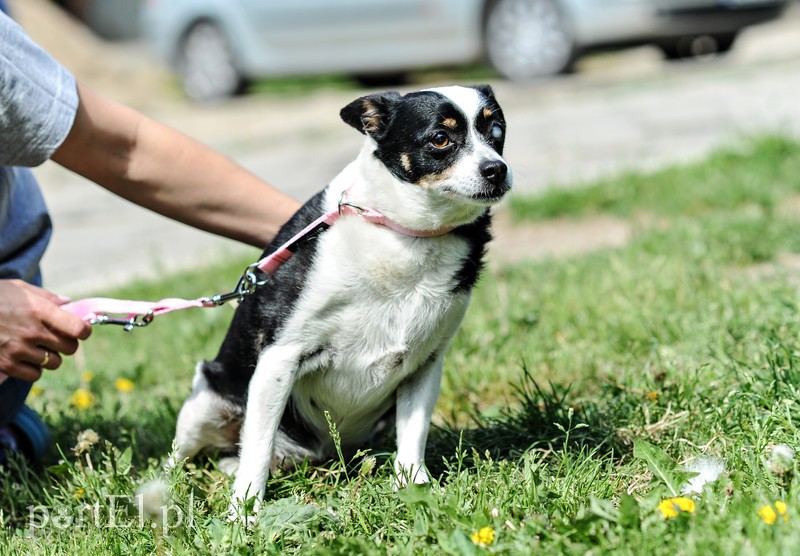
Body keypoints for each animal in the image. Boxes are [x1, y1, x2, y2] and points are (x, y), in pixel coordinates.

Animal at [170, 83, 512, 516]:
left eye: (497, 131)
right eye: (440, 138)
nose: (497, 169)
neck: (405, 235)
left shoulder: (426, 364)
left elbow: (412, 434)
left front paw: (413, 488)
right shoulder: (279, 357)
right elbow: (257, 448)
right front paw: (244, 512)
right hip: (205, 400)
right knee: (190, 455)